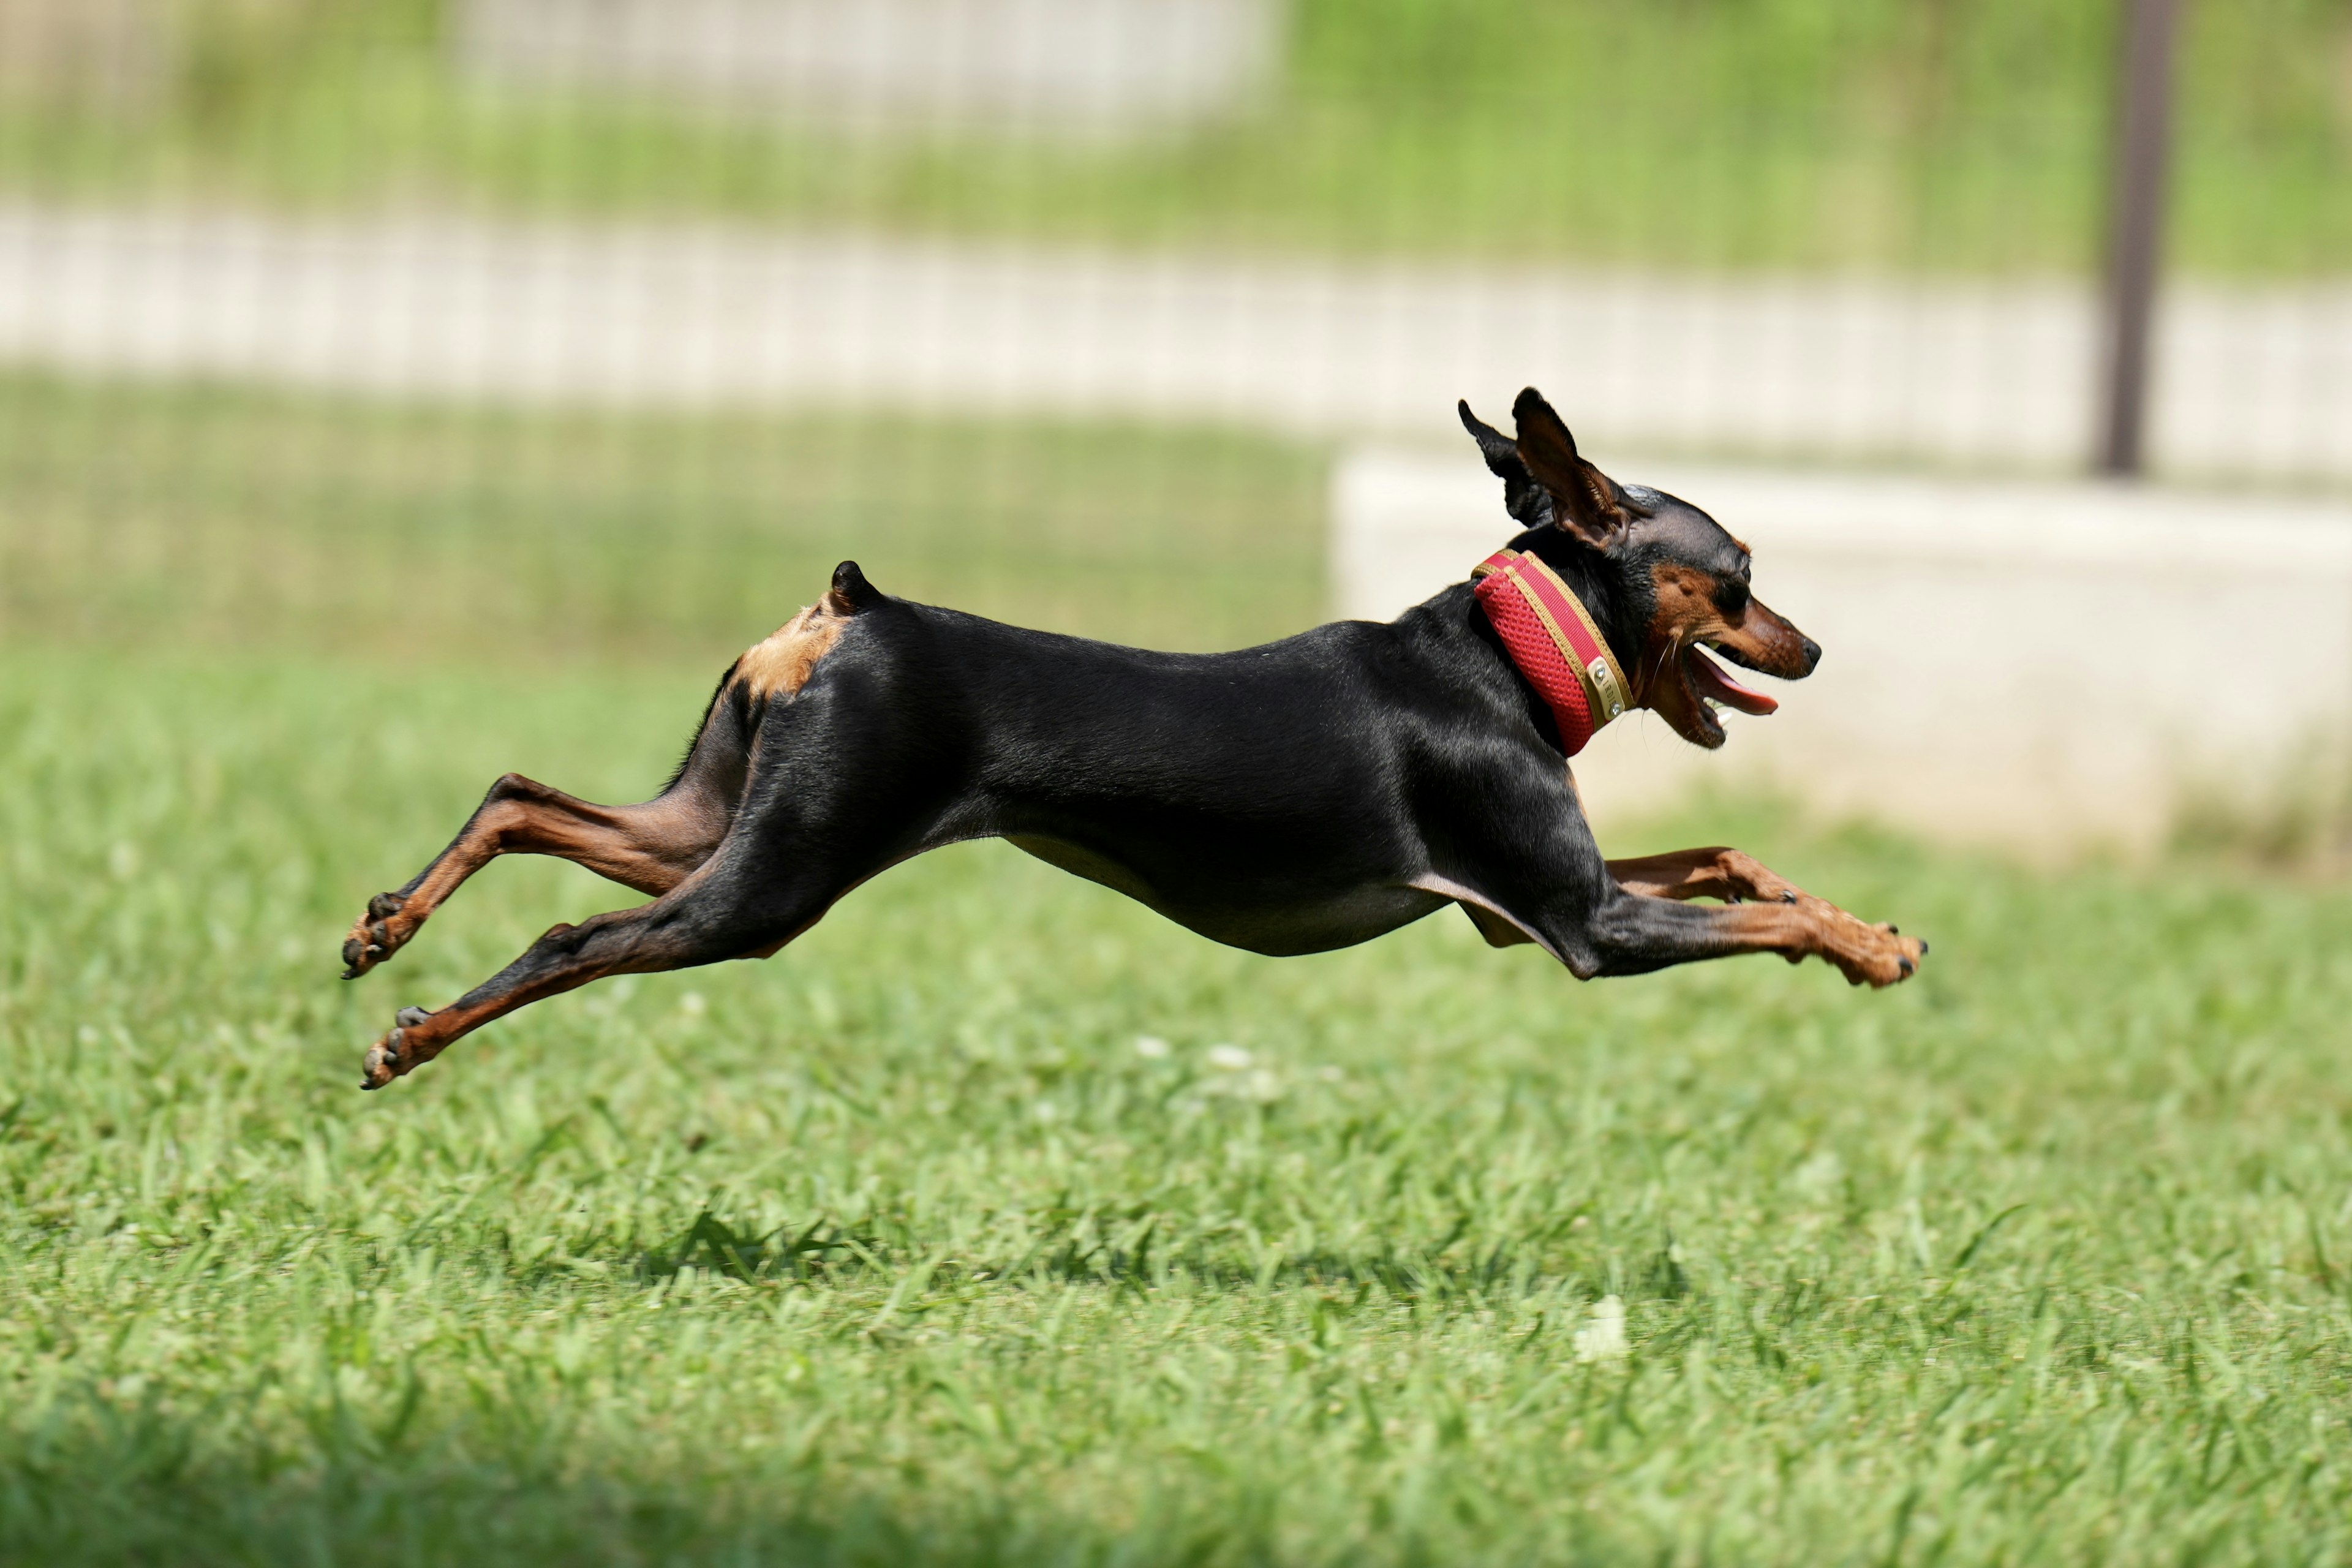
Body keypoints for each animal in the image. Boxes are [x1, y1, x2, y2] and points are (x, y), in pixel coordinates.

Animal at [348, 385, 1928, 1086]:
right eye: (1737, 576)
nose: (1813, 647)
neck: (1503, 656)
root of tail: (849, 614)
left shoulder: (1523, 905)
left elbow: (1732, 858)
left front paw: (1846, 913)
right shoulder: (1580, 924)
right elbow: (1758, 912)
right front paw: (1864, 944)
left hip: (717, 820)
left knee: (521, 792)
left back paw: (385, 929)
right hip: (769, 882)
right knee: (573, 939)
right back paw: (418, 1033)